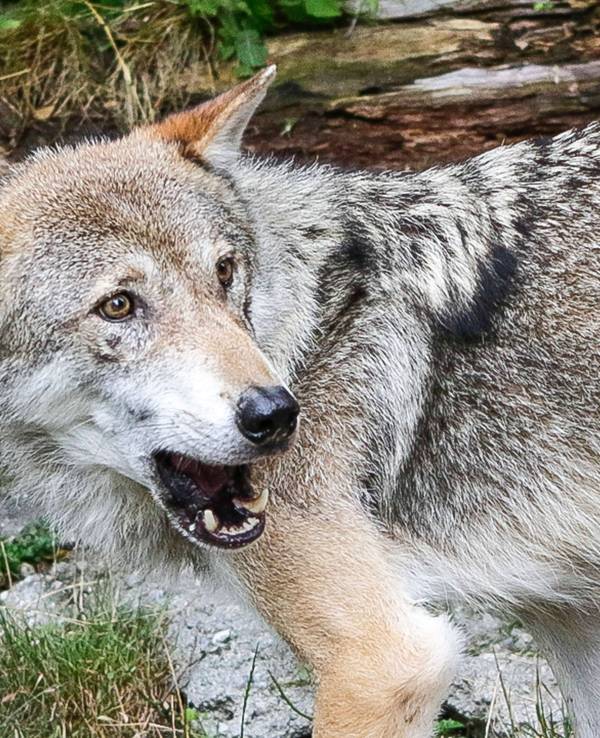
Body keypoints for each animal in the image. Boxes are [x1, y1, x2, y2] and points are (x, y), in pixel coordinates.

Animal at [0, 65, 599, 736]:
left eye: (225, 272)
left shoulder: (385, 663)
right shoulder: (570, 620)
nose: (276, 414)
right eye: (118, 305)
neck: (310, 332)